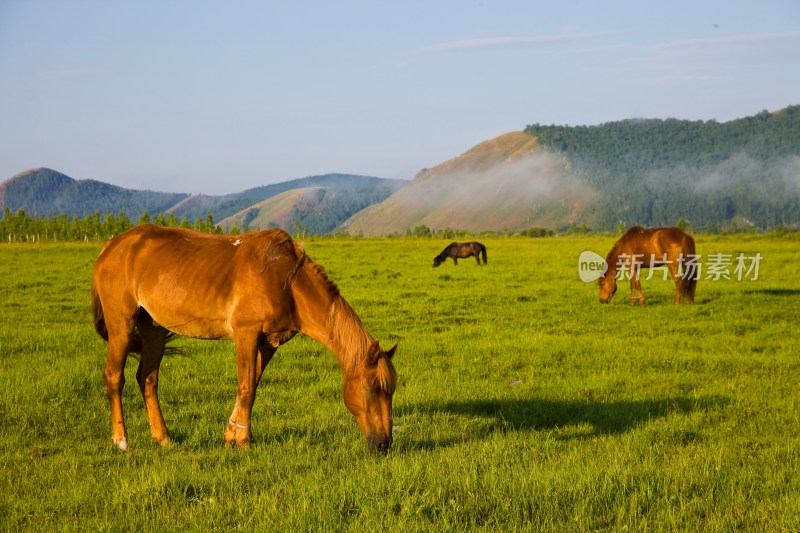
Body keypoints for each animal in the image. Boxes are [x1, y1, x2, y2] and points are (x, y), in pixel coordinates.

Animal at [92, 222, 398, 450]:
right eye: (373, 389)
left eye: (390, 391)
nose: (384, 444)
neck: (287, 281)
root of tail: (112, 245)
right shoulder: (246, 335)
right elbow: (246, 388)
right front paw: (244, 441)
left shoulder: (269, 343)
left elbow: (253, 387)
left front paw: (232, 435)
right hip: (121, 325)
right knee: (114, 377)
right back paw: (121, 440)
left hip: (153, 329)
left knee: (148, 379)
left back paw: (163, 437)